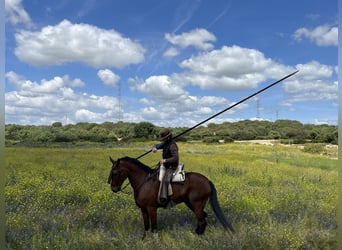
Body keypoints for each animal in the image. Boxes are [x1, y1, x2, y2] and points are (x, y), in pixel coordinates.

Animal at [107, 156, 235, 236]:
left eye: (115, 172)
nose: (114, 189)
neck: (144, 181)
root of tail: (207, 180)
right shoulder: (143, 209)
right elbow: (146, 226)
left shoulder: (151, 208)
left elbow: (154, 227)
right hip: (192, 204)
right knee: (202, 218)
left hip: (197, 204)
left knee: (202, 219)